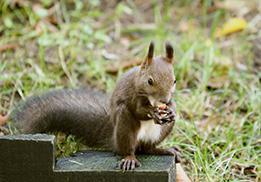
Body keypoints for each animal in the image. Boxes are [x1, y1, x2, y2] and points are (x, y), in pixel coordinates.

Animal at [9, 41, 178, 171]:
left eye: (174, 81)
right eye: (150, 81)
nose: (164, 100)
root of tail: (114, 139)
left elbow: (172, 105)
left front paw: (172, 110)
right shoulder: (133, 95)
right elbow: (138, 110)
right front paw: (153, 112)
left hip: (159, 134)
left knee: (148, 148)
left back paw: (165, 150)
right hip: (124, 125)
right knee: (128, 148)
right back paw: (129, 158)